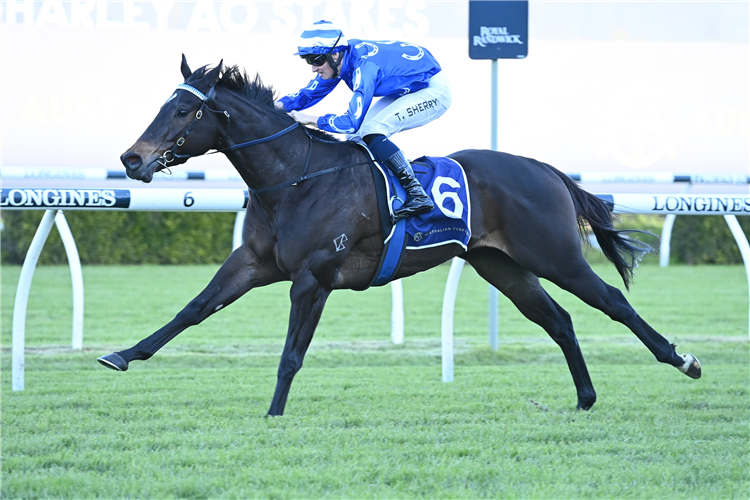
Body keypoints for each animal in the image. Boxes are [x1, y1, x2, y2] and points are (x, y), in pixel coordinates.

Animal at [97, 54, 704, 416]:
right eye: (165, 105)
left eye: (182, 110)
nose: (132, 159)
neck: (295, 177)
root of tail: (544, 169)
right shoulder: (252, 263)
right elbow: (194, 309)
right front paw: (123, 354)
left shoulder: (313, 277)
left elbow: (291, 354)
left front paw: (273, 412)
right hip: (502, 266)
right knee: (559, 320)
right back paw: (584, 398)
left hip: (556, 256)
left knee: (613, 302)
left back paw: (683, 360)